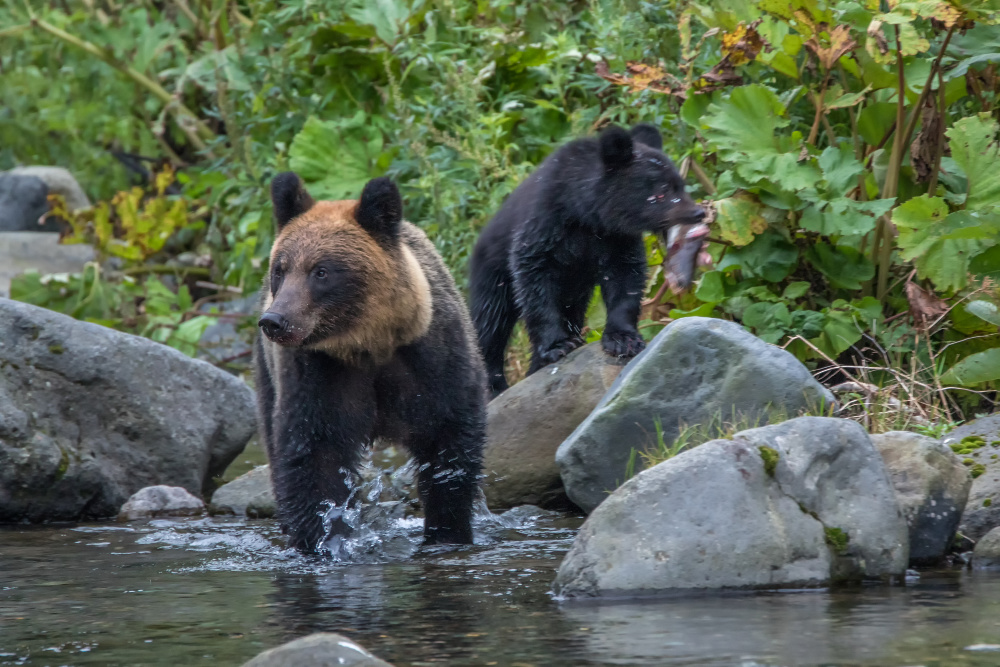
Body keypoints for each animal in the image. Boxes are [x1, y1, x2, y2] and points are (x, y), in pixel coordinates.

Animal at [254, 172, 488, 552]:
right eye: (281, 269)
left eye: (321, 271)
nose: (275, 320)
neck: (368, 344)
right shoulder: (318, 374)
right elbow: (314, 456)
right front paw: (323, 538)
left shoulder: (433, 360)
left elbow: (449, 443)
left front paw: (447, 532)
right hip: (267, 375)